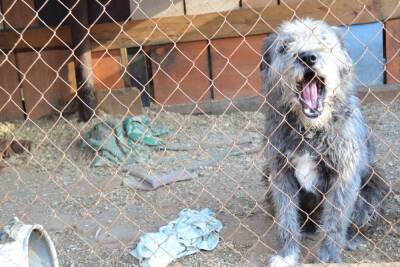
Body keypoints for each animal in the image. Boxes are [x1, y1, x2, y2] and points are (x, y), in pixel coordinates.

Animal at [260, 18, 390, 266]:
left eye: (324, 41)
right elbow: (286, 218)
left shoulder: (344, 175)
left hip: (376, 185)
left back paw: (352, 239)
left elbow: (335, 221)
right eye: (284, 46)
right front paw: (288, 254)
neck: (310, 131)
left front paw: (329, 255)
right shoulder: (280, 173)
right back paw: (307, 229)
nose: (307, 57)